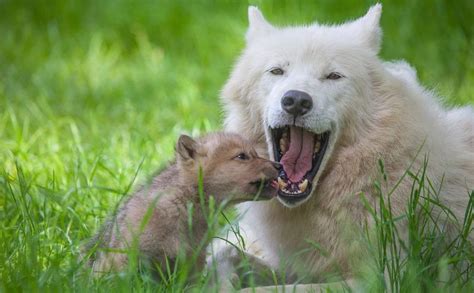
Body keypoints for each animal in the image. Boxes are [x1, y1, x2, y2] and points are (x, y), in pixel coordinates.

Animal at [212, 2, 474, 288]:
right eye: (277, 71)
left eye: (333, 76)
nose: (296, 101)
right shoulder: (295, 266)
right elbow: (224, 255)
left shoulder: (379, 279)